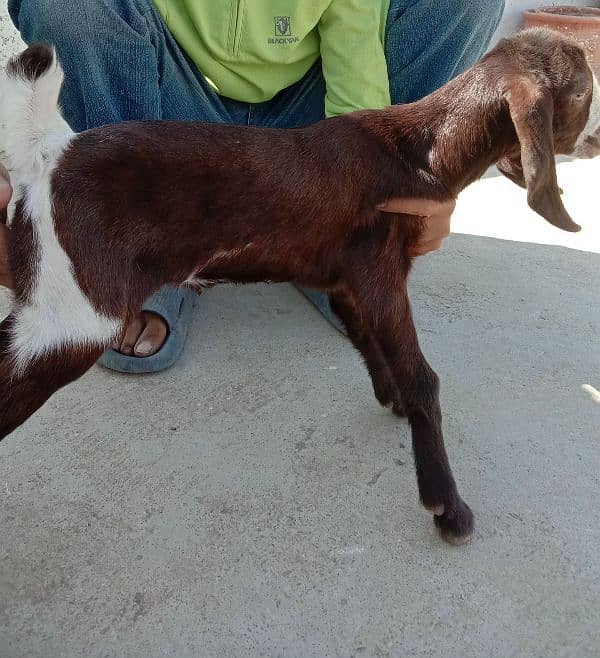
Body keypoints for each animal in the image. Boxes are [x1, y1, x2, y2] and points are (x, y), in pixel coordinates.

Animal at [0, 28, 596, 544]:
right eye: (584, 90)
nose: (593, 142)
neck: (417, 149)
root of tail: (53, 153)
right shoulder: (381, 275)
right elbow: (423, 378)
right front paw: (447, 506)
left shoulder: (348, 283)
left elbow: (368, 342)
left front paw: (392, 399)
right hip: (73, 316)